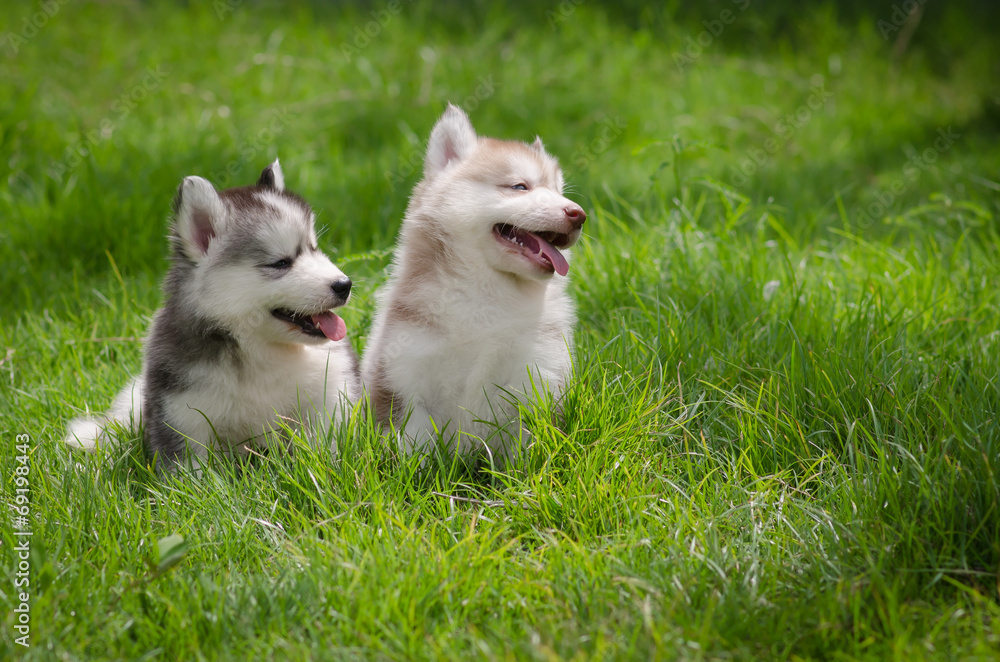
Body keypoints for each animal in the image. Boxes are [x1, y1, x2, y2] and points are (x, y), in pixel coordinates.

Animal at [65, 161, 360, 470]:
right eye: (280, 262)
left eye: (314, 249)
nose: (344, 285)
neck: (260, 349)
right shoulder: (182, 412)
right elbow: (189, 470)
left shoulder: (331, 390)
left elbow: (326, 445)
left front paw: (327, 466)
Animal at [362, 105, 584, 462]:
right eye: (520, 186)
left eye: (559, 192)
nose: (578, 214)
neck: (489, 293)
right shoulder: (405, 377)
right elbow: (414, 447)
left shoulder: (536, 379)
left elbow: (527, 450)